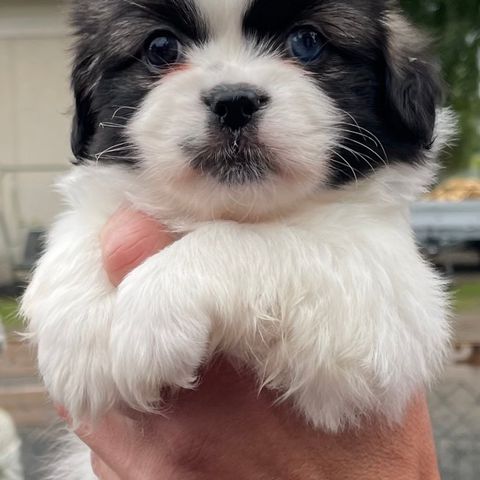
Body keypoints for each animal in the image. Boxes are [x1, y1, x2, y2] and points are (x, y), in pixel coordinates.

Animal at [23, 0, 454, 476]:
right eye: (160, 47)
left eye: (307, 42)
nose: (234, 102)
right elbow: (84, 225)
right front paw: (75, 333)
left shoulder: (386, 309)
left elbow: (251, 241)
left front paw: (148, 314)